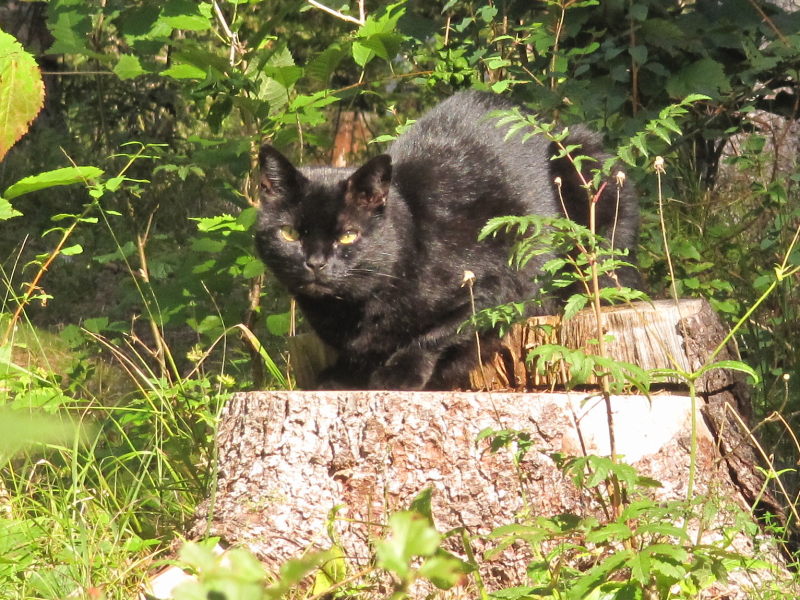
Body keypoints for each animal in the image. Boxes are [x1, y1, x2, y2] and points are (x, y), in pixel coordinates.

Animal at [256, 89, 636, 390]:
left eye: (348, 235)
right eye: (290, 233)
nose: (316, 263)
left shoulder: (500, 285)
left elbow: (436, 334)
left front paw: (399, 373)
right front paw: (343, 374)